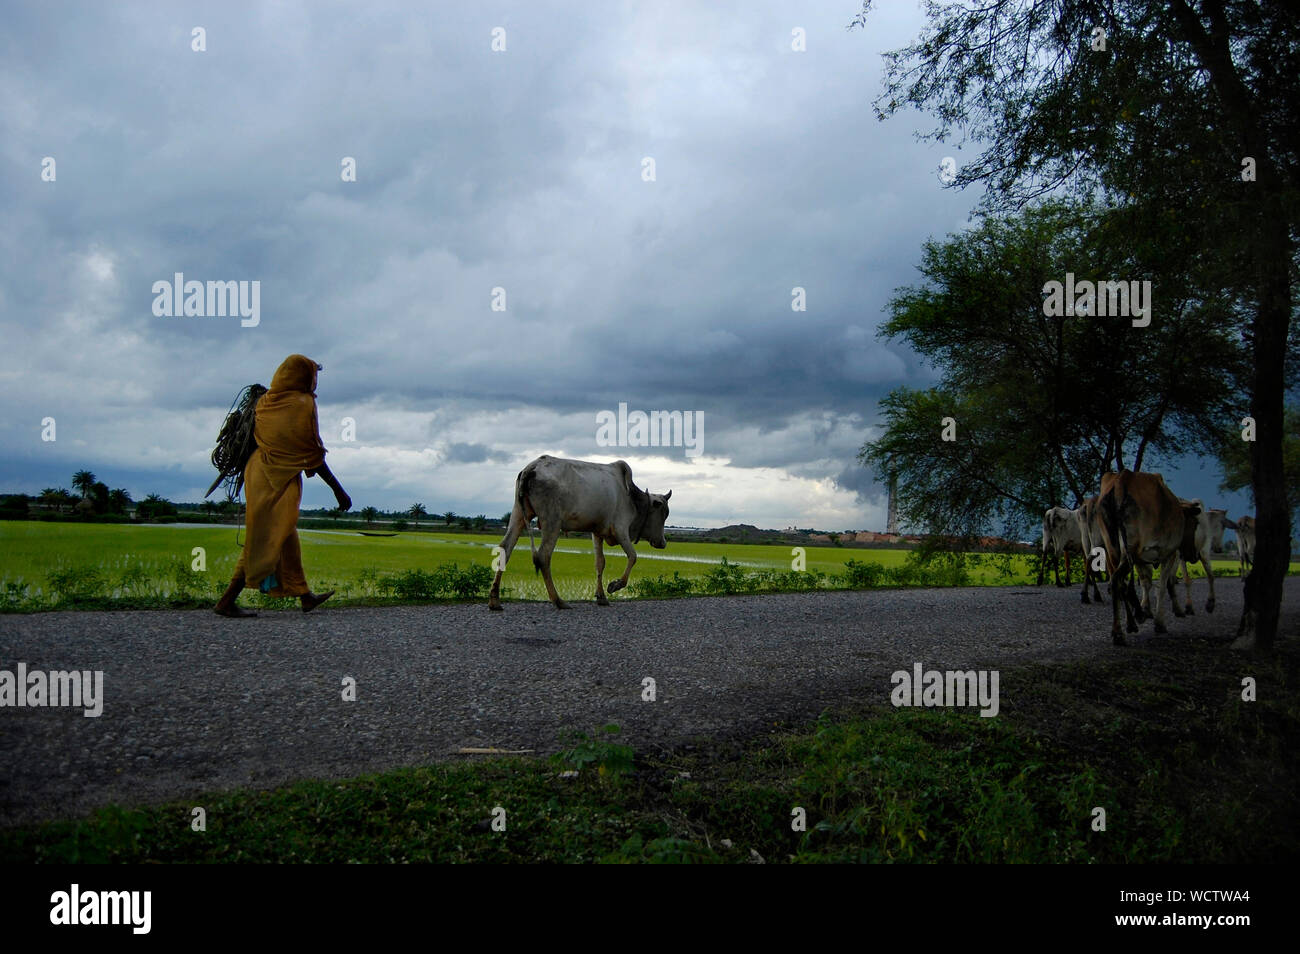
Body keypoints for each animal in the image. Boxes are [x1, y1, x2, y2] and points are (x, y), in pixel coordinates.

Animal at [1097, 473, 1196, 647]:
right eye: (1196, 524)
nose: (1193, 555)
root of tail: (1121, 479)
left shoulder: (1141, 559)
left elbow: (1146, 582)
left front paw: (1145, 610)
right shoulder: (1168, 554)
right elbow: (1162, 586)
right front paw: (1159, 623)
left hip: (1113, 550)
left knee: (1119, 583)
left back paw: (1129, 624)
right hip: (1129, 549)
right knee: (1117, 581)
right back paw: (1119, 632)